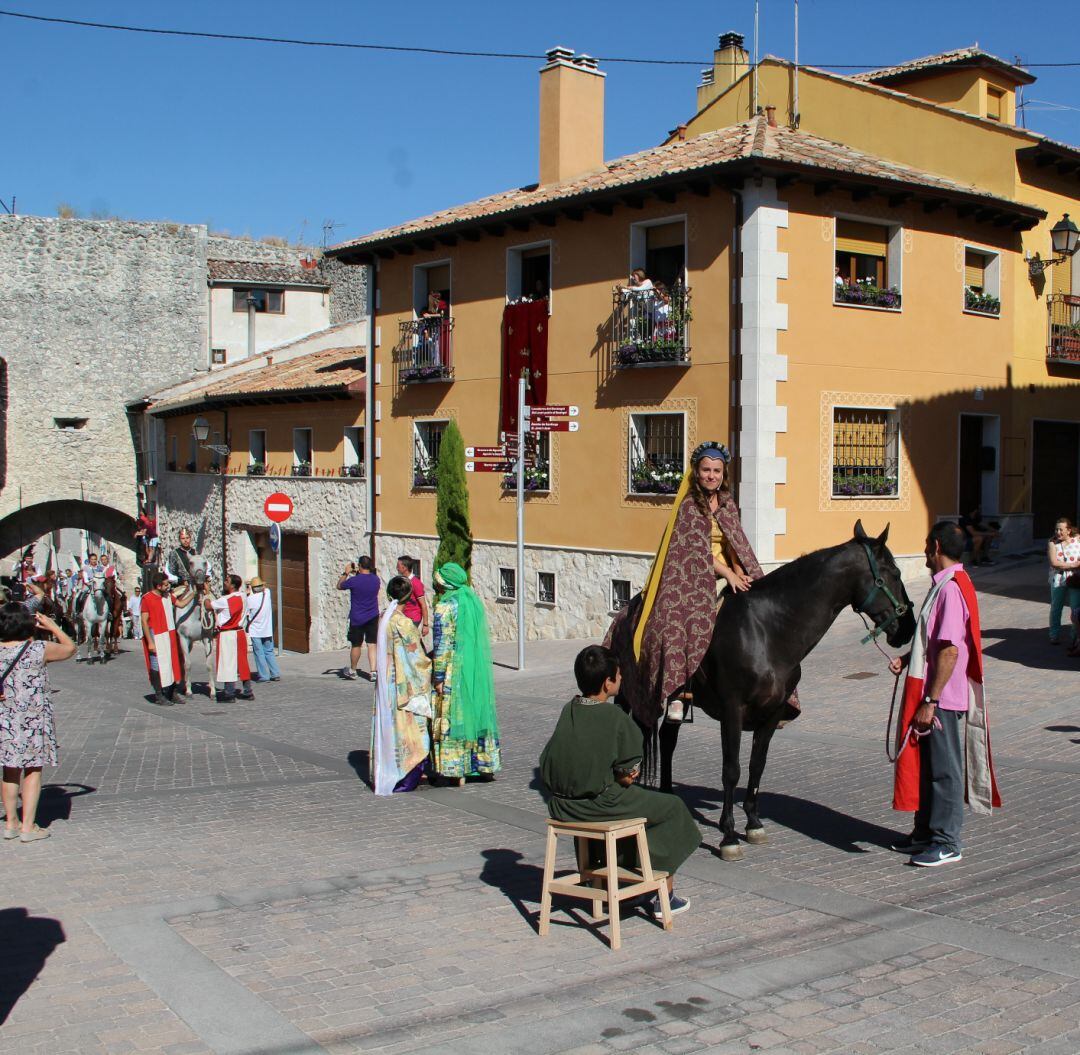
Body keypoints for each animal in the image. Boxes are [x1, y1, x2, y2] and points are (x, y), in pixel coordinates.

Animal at [635, 518, 915, 855]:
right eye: (894, 573)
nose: (909, 628)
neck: (766, 631)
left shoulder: (772, 712)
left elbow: (757, 765)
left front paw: (753, 824)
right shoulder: (732, 710)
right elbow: (732, 769)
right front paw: (728, 836)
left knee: (668, 738)